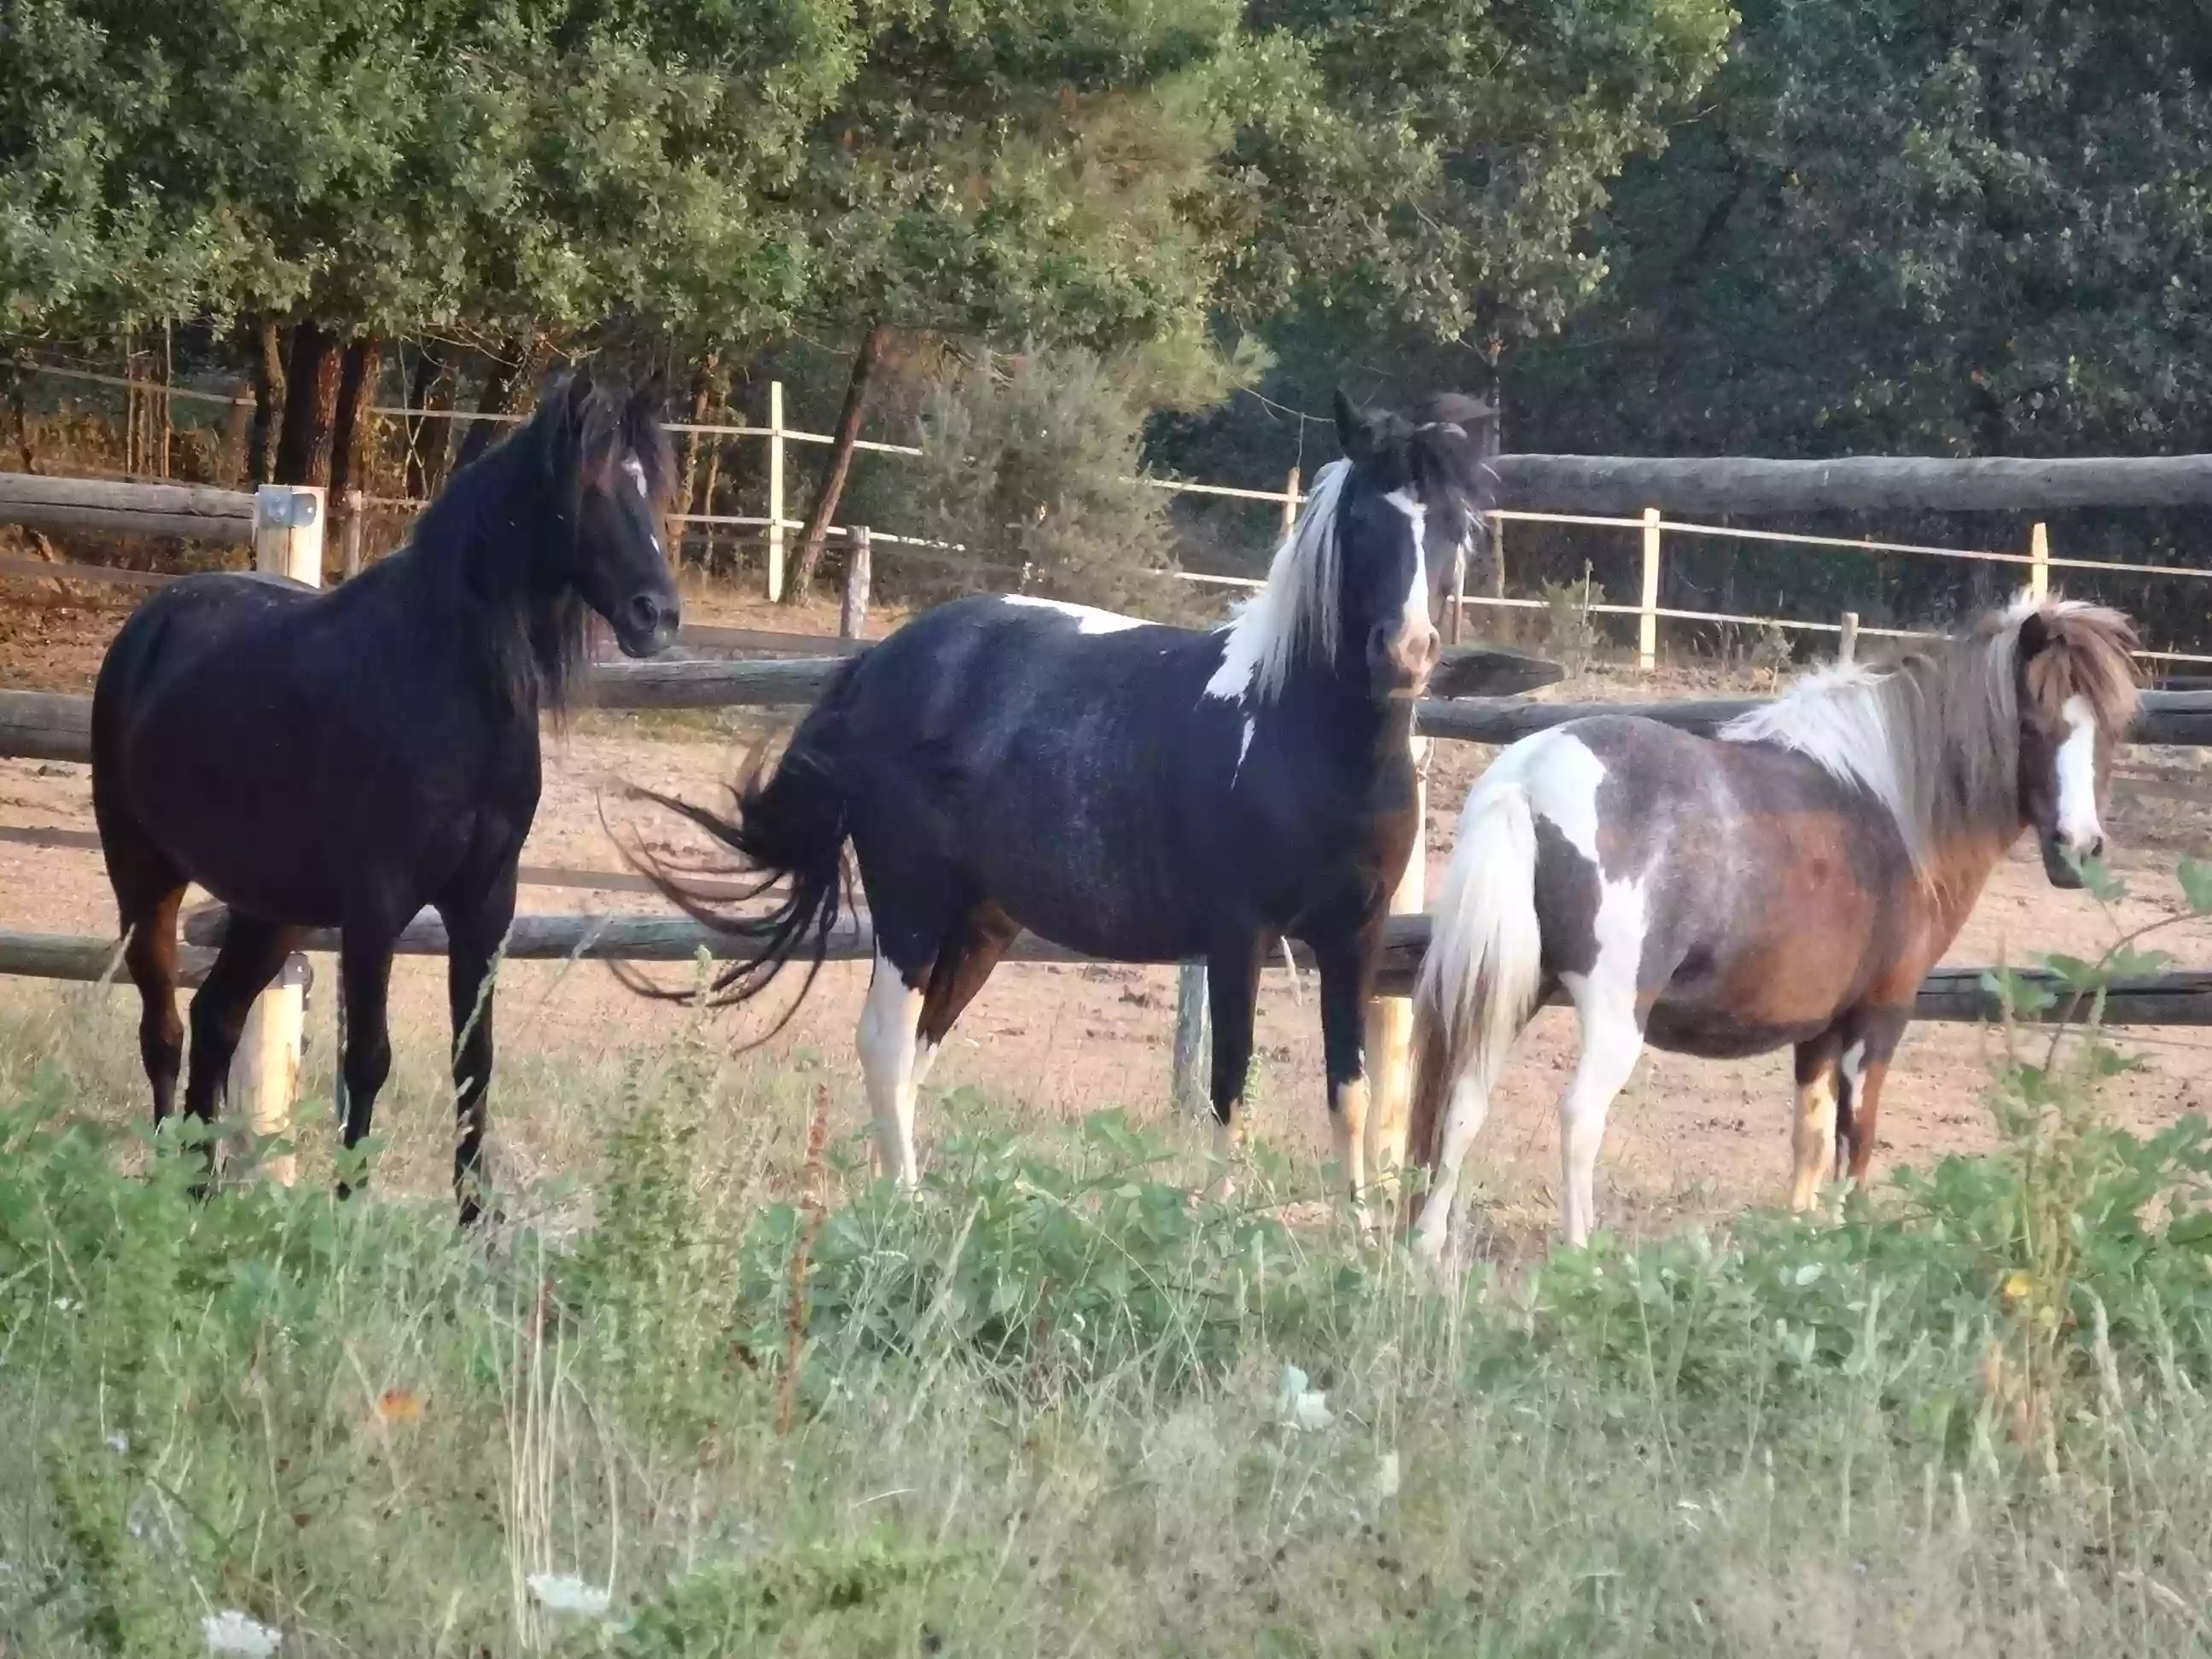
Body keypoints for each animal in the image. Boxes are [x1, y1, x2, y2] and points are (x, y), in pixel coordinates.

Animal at [95, 374, 677, 1220]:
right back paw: (168, 1192)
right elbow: (368, 1059)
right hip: (145, 879)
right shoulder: (377, 906)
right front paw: (348, 1213)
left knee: (216, 1018)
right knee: (163, 1029)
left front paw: (475, 1222)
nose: (657, 615)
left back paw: (204, 1194)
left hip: (273, 909)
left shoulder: (486, 901)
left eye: (652, 487)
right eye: (590, 485)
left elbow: (476, 1061)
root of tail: (145, 625)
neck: (449, 680)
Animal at [628, 393, 1504, 1212]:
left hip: (982, 924)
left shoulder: (1355, 938)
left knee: (918, 1052)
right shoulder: (1239, 938)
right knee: (884, 1041)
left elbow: (1349, 1096)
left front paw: (1359, 1240)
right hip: (912, 904)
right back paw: (904, 1204)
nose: (1406, 653)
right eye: (1362, 520)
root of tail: (879, 662)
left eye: (1456, 526)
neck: (1297, 738)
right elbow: (1231, 1092)